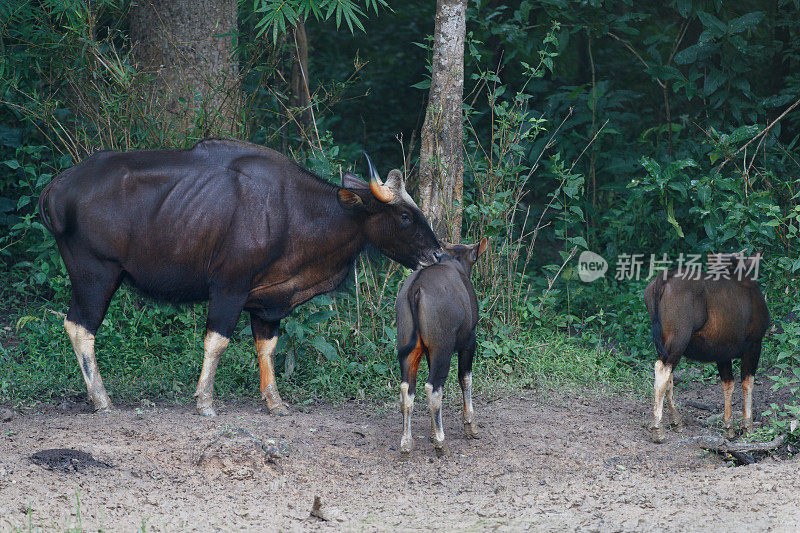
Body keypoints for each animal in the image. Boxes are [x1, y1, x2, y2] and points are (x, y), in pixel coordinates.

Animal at [394, 237, 488, 454]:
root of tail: (416, 289)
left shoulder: (429, 350)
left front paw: (430, 431)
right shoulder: (469, 340)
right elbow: (465, 378)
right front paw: (470, 426)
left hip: (410, 347)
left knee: (407, 389)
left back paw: (406, 444)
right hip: (443, 348)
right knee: (433, 388)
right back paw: (440, 443)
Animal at [644, 252, 768, 440]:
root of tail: (661, 281)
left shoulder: (723, 352)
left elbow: (728, 384)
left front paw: (729, 426)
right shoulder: (754, 344)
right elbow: (747, 382)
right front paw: (748, 427)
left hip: (665, 341)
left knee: (668, 373)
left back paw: (676, 421)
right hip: (679, 337)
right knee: (663, 370)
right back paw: (658, 429)